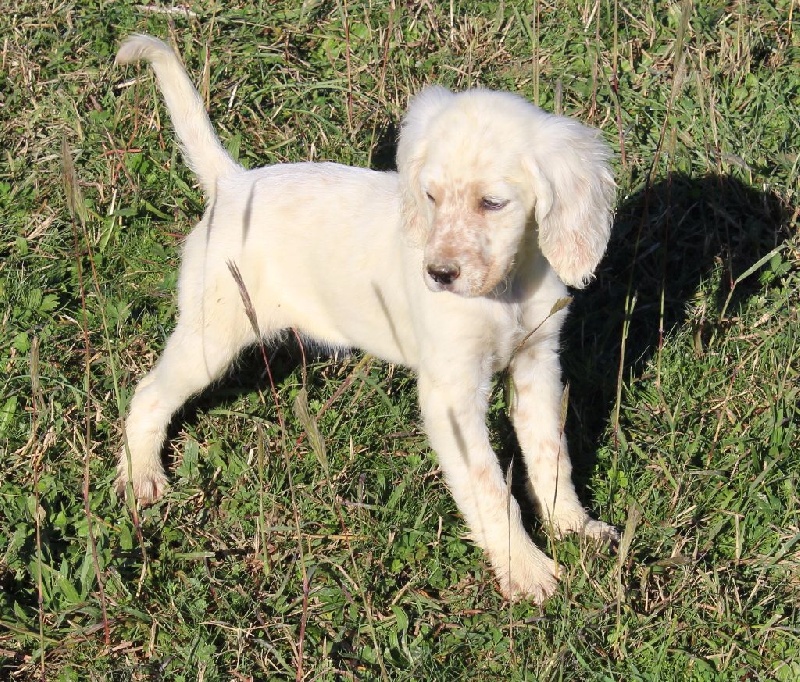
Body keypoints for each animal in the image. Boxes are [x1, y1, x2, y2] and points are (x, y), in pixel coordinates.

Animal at [115, 34, 617, 602]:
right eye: (431, 196)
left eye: (492, 203)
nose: (438, 274)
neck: (506, 289)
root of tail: (233, 183)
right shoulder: (451, 393)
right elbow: (489, 485)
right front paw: (526, 569)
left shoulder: (537, 363)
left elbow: (551, 454)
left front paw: (573, 526)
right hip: (213, 333)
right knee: (149, 393)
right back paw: (141, 474)